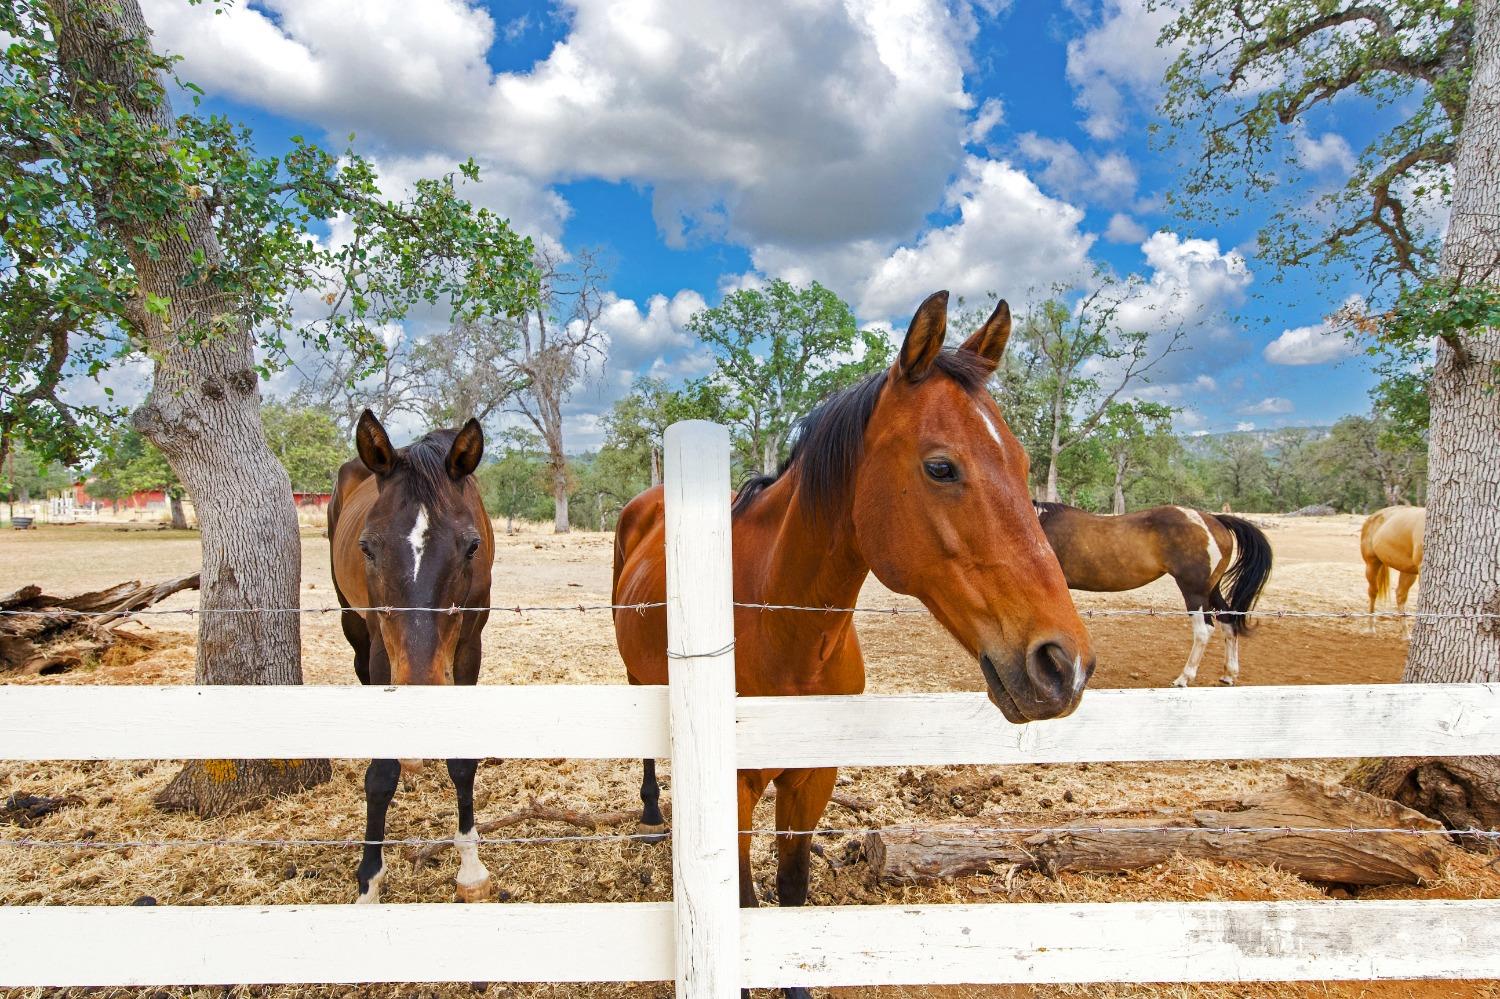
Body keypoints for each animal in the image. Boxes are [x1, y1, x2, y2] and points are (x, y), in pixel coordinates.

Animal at [327, 411, 492, 900]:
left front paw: (470, 869)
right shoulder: (385, 650)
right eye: (367, 547)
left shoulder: (469, 648)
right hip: (354, 625)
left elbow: (463, 761)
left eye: (471, 546)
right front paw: (368, 879)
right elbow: (381, 775)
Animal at [609, 288, 1092, 996]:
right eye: (941, 466)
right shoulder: (739, 787)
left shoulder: (813, 776)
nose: (1065, 664)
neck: (782, 627)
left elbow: (792, 891)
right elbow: (745, 900)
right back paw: (650, 811)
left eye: (1025, 463)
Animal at [1026, 507, 1272, 684]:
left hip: (1194, 592)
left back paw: (1184, 678)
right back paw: (1229, 674)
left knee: (1204, 631)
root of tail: (1212, 520)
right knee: (1228, 621)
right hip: (1211, 590)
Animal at [1368, 501, 1422, 633]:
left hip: (1409, 572)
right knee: (1373, 592)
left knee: (1400, 595)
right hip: (1371, 565)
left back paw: (1406, 634)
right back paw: (1371, 627)